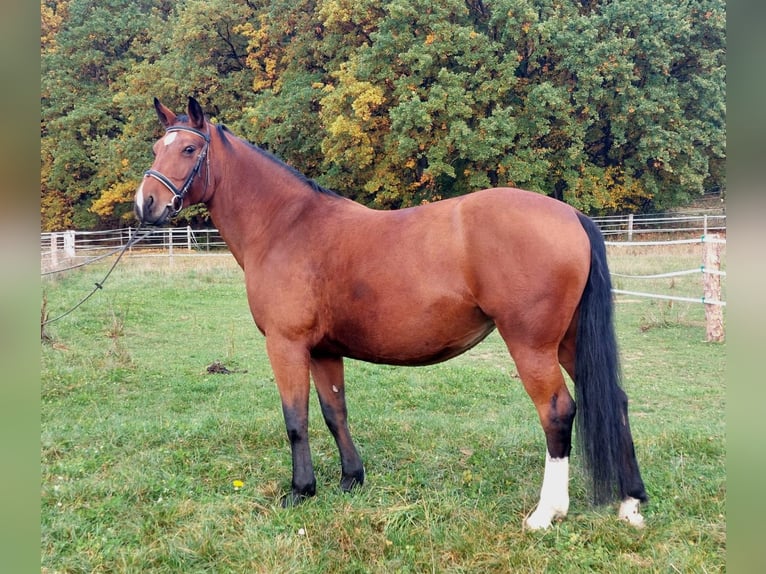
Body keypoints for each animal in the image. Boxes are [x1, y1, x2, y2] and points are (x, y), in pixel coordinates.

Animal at [134, 97, 647, 530]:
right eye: (157, 147)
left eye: (188, 148)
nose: (145, 204)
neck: (286, 225)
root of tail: (572, 216)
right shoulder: (324, 351)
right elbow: (334, 413)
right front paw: (350, 479)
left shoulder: (286, 344)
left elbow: (296, 419)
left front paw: (301, 490)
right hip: (569, 342)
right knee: (617, 401)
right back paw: (630, 503)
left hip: (532, 345)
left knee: (557, 413)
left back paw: (546, 514)